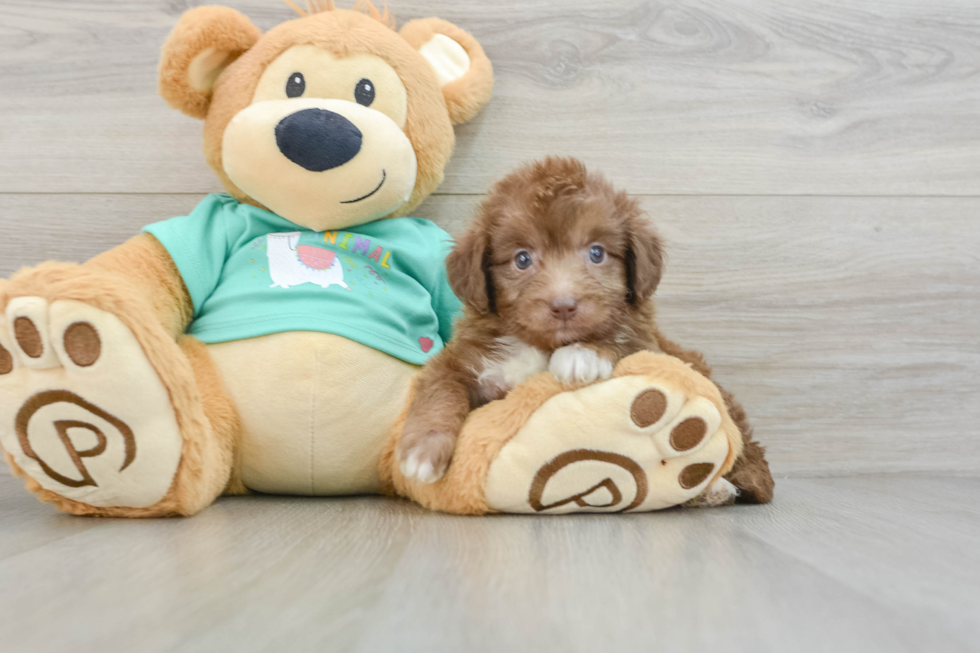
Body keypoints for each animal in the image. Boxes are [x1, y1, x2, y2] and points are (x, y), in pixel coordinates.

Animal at [396, 155, 772, 506]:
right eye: (522, 259)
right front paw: (421, 451)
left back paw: (715, 487)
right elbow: (440, 391)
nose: (563, 305)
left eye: (596, 253)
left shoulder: (649, 343)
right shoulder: (462, 360)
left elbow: (622, 339)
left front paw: (581, 355)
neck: (540, 344)